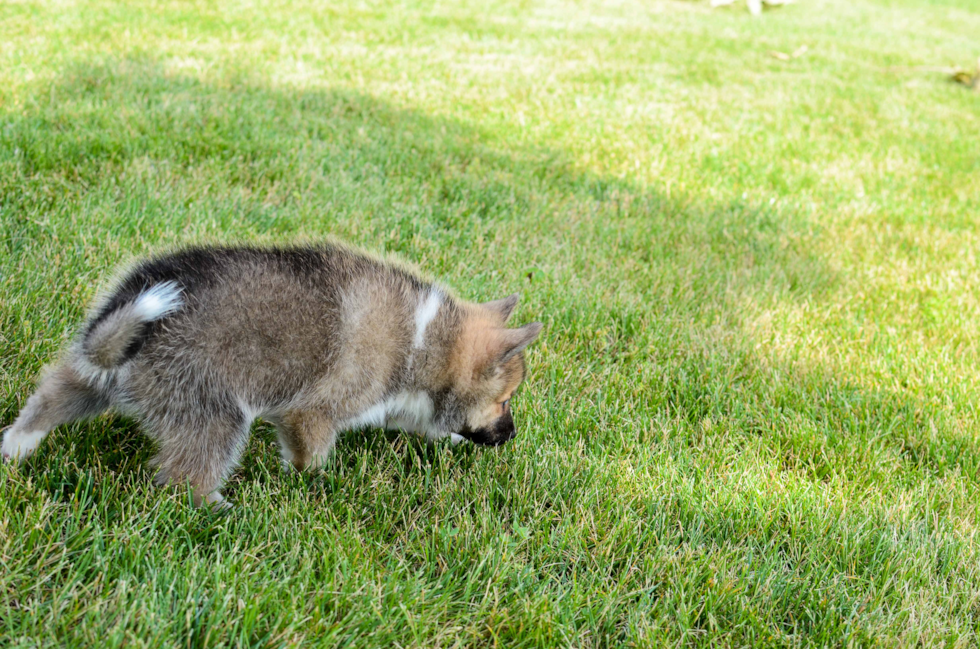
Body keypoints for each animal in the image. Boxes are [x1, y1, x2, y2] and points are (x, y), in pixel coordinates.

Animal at [1, 244, 544, 506]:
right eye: (504, 400)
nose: (511, 434)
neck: (425, 339)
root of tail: (133, 319)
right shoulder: (312, 412)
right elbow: (312, 456)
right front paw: (315, 484)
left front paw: (449, 440)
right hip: (215, 414)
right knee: (183, 476)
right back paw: (216, 507)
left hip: (95, 376)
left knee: (52, 397)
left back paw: (17, 446)